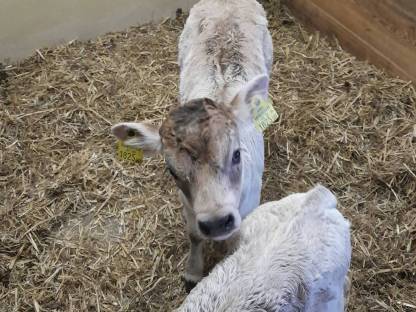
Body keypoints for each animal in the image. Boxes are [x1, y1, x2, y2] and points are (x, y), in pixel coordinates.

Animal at [110, 0, 272, 290]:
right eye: (172, 171)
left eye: (236, 155)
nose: (217, 222)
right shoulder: (189, 208)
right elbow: (194, 235)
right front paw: (193, 272)